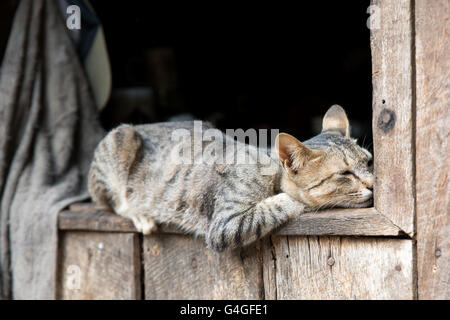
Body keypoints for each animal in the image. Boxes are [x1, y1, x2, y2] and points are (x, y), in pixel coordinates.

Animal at [87, 106, 372, 251]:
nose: (373, 183)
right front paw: (298, 200)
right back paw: (141, 214)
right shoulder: (225, 225)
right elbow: (277, 204)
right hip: (121, 139)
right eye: (345, 174)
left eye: (368, 161)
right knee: (116, 203)